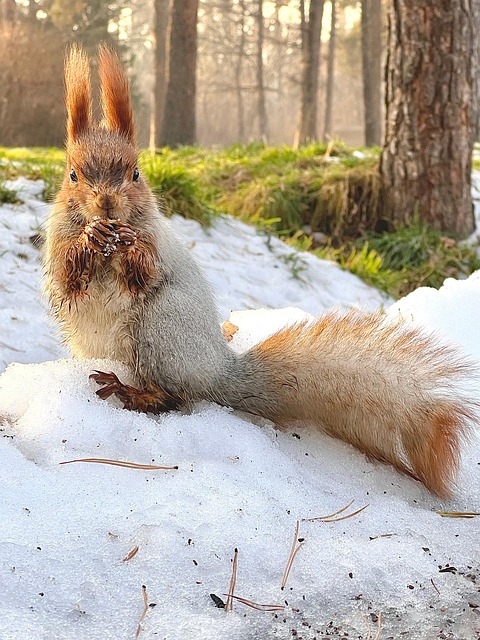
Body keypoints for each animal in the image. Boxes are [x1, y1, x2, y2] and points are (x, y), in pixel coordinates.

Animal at [44, 46, 477, 499]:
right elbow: (67, 274)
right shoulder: (56, 244)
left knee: (175, 397)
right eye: (72, 174)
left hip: (160, 332)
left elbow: (143, 272)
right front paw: (89, 238)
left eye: (135, 173)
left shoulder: (157, 246)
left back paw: (129, 391)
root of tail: (218, 371)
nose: (107, 204)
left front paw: (127, 244)